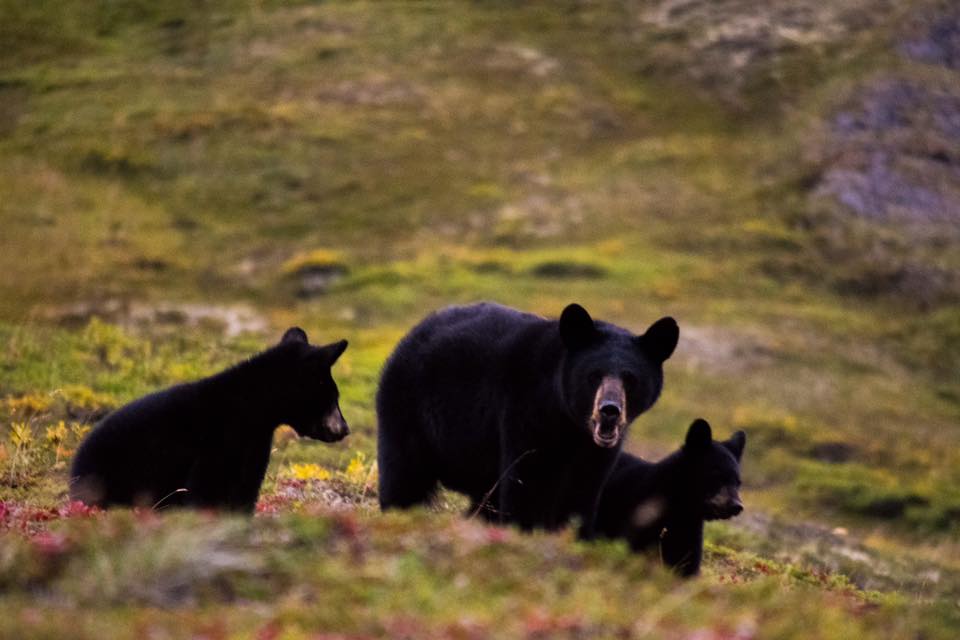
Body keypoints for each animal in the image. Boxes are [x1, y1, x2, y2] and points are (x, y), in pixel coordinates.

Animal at [70, 328, 348, 512]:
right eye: (333, 396)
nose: (344, 429)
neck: (253, 407)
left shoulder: (254, 443)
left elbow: (246, 488)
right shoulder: (217, 440)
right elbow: (207, 487)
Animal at [374, 302, 676, 536]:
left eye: (630, 379)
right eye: (594, 375)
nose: (609, 410)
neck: (569, 422)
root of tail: (413, 333)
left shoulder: (595, 452)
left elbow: (582, 491)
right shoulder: (526, 412)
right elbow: (527, 481)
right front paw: (525, 529)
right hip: (408, 408)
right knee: (403, 473)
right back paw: (398, 513)